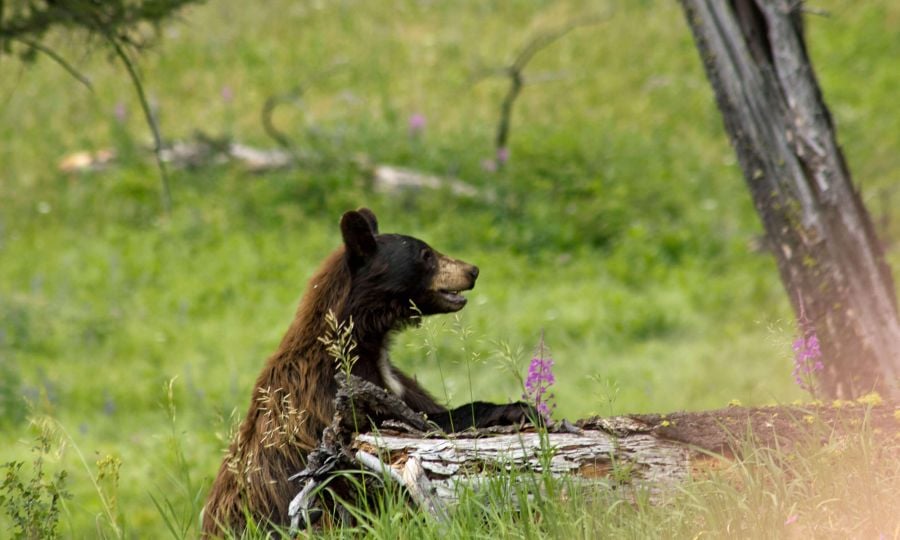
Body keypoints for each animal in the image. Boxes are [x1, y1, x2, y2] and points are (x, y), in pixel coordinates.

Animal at [202, 208, 532, 536]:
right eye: (425, 254)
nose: (472, 270)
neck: (366, 343)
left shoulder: (391, 379)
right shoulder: (339, 393)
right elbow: (411, 424)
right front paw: (517, 409)